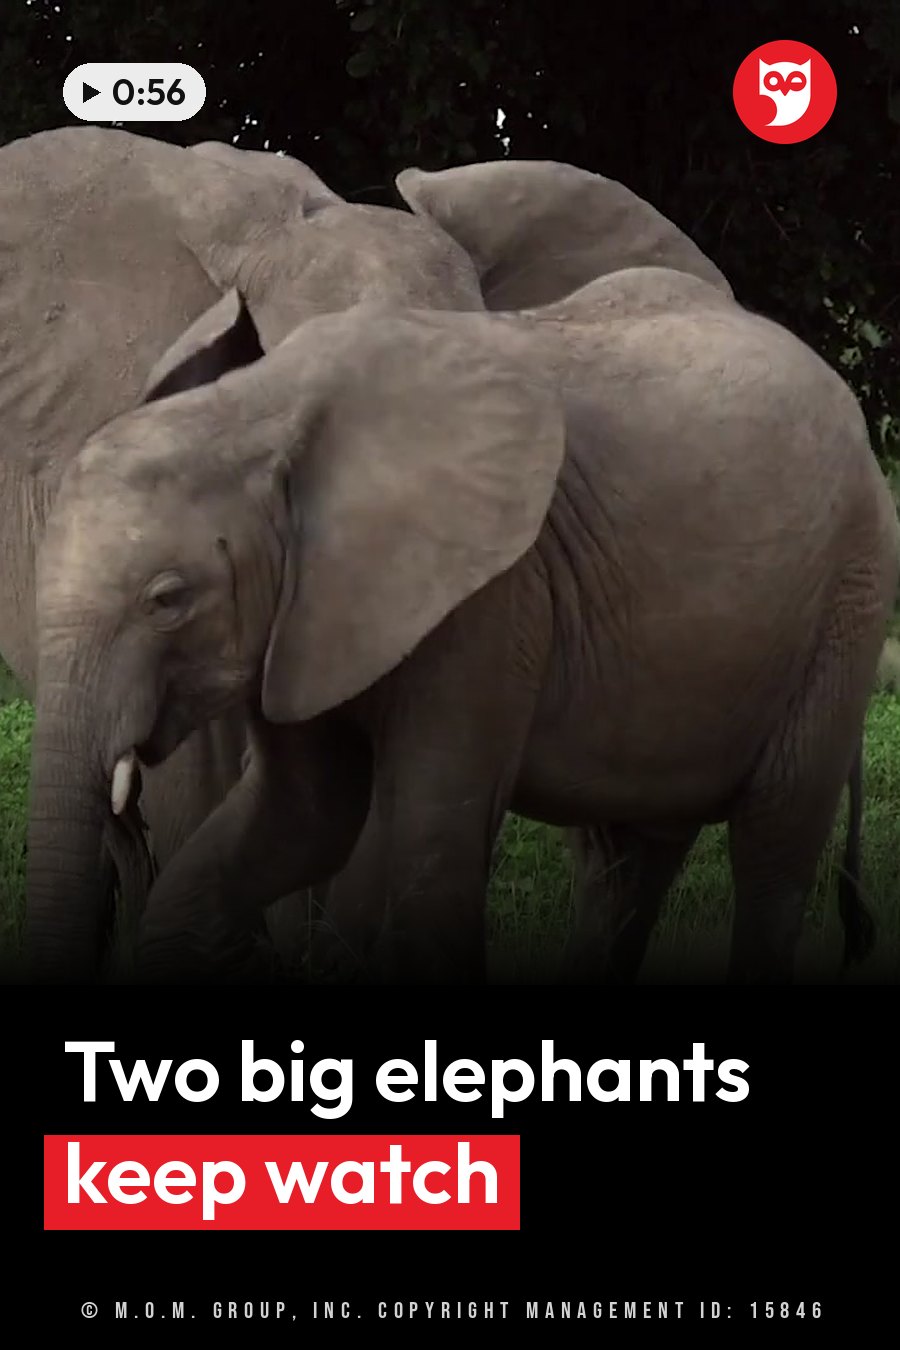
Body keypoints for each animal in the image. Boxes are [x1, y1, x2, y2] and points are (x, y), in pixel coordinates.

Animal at [24, 151, 898, 987]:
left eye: (167, 599)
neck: (257, 412)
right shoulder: (305, 612)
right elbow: (295, 818)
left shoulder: (491, 600)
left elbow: (429, 848)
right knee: (628, 859)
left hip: (849, 596)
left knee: (775, 842)